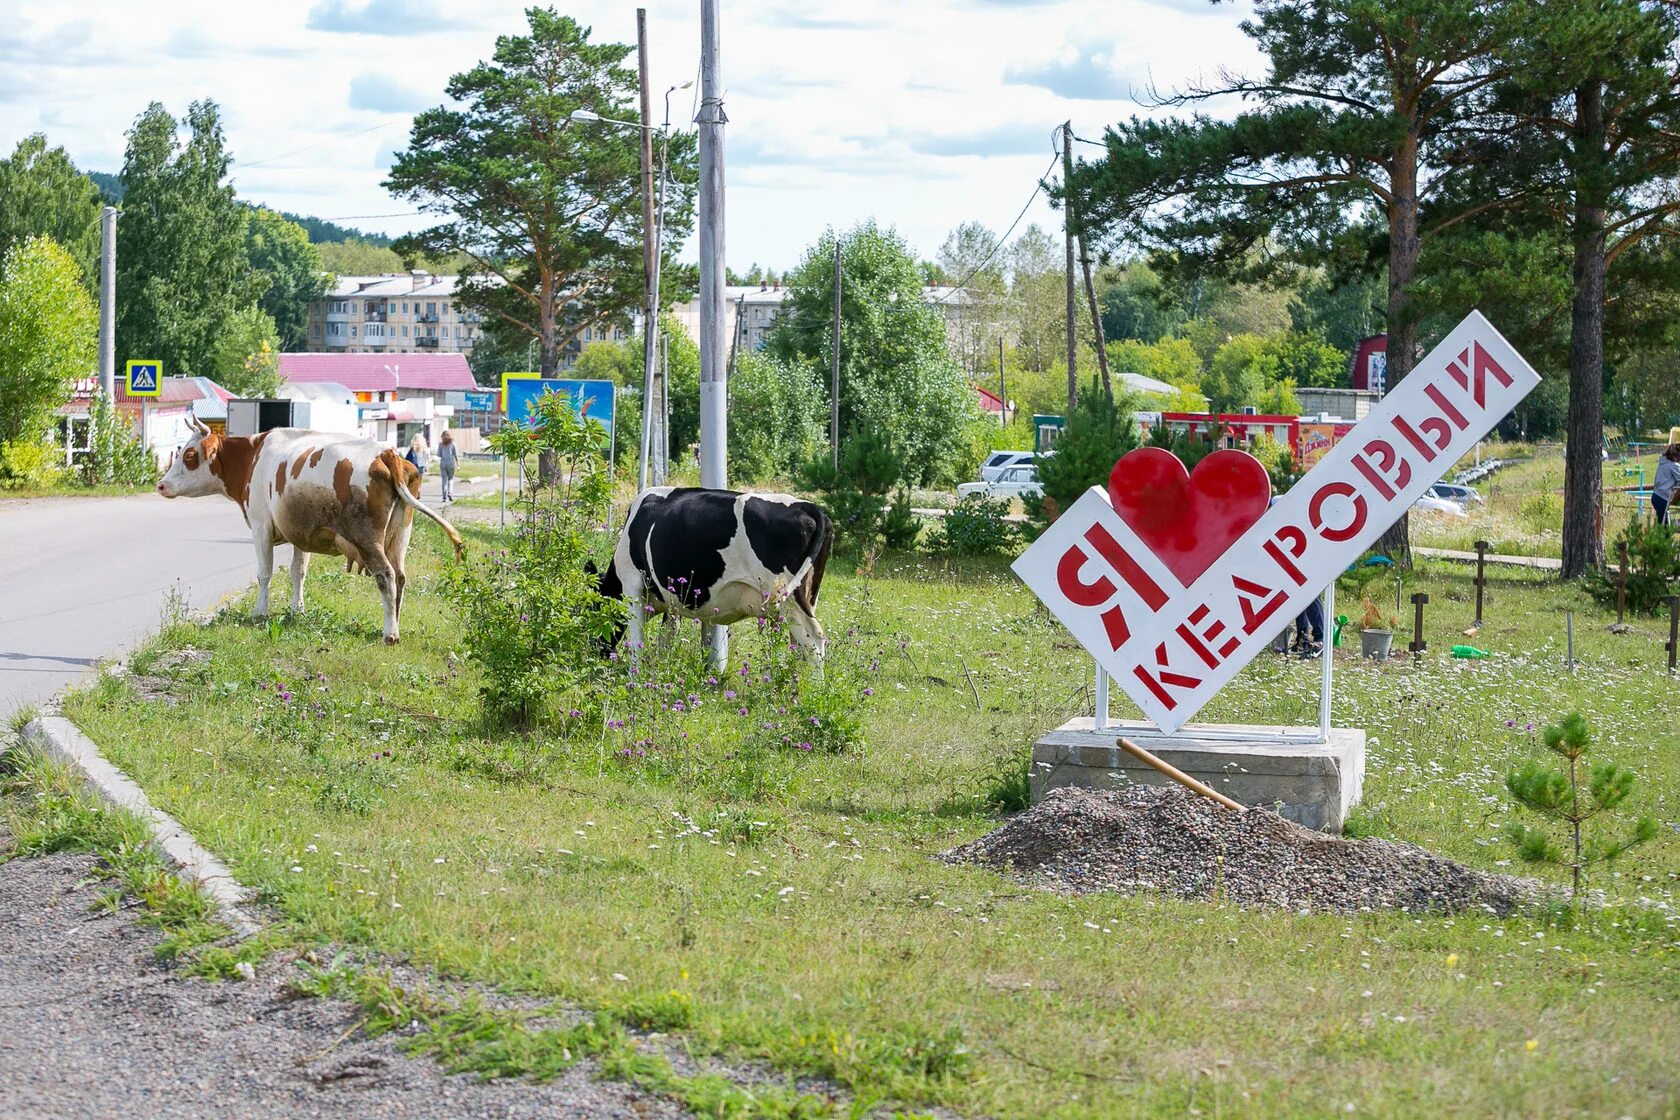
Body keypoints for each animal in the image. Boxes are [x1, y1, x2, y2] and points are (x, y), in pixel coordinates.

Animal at [159, 418, 460, 648]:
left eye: (189, 455)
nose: (161, 485)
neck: (253, 457)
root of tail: (386, 453)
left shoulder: (260, 525)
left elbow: (264, 573)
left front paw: (260, 612)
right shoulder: (300, 534)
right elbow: (298, 571)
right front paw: (298, 610)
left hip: (368, 539)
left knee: (386, 576)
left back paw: (390, 633)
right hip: (400, 535)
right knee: (400, 576)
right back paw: (395, 622)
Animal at [591, 486, 833, 661]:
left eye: (593, 607)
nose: (597, 652)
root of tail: (806, 506)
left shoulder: (633, 586)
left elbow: (636, 641)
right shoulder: (675, 600)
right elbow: (668, 638)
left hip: (787, 597)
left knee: (814, 641)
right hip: (807, 597)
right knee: (800, 645)